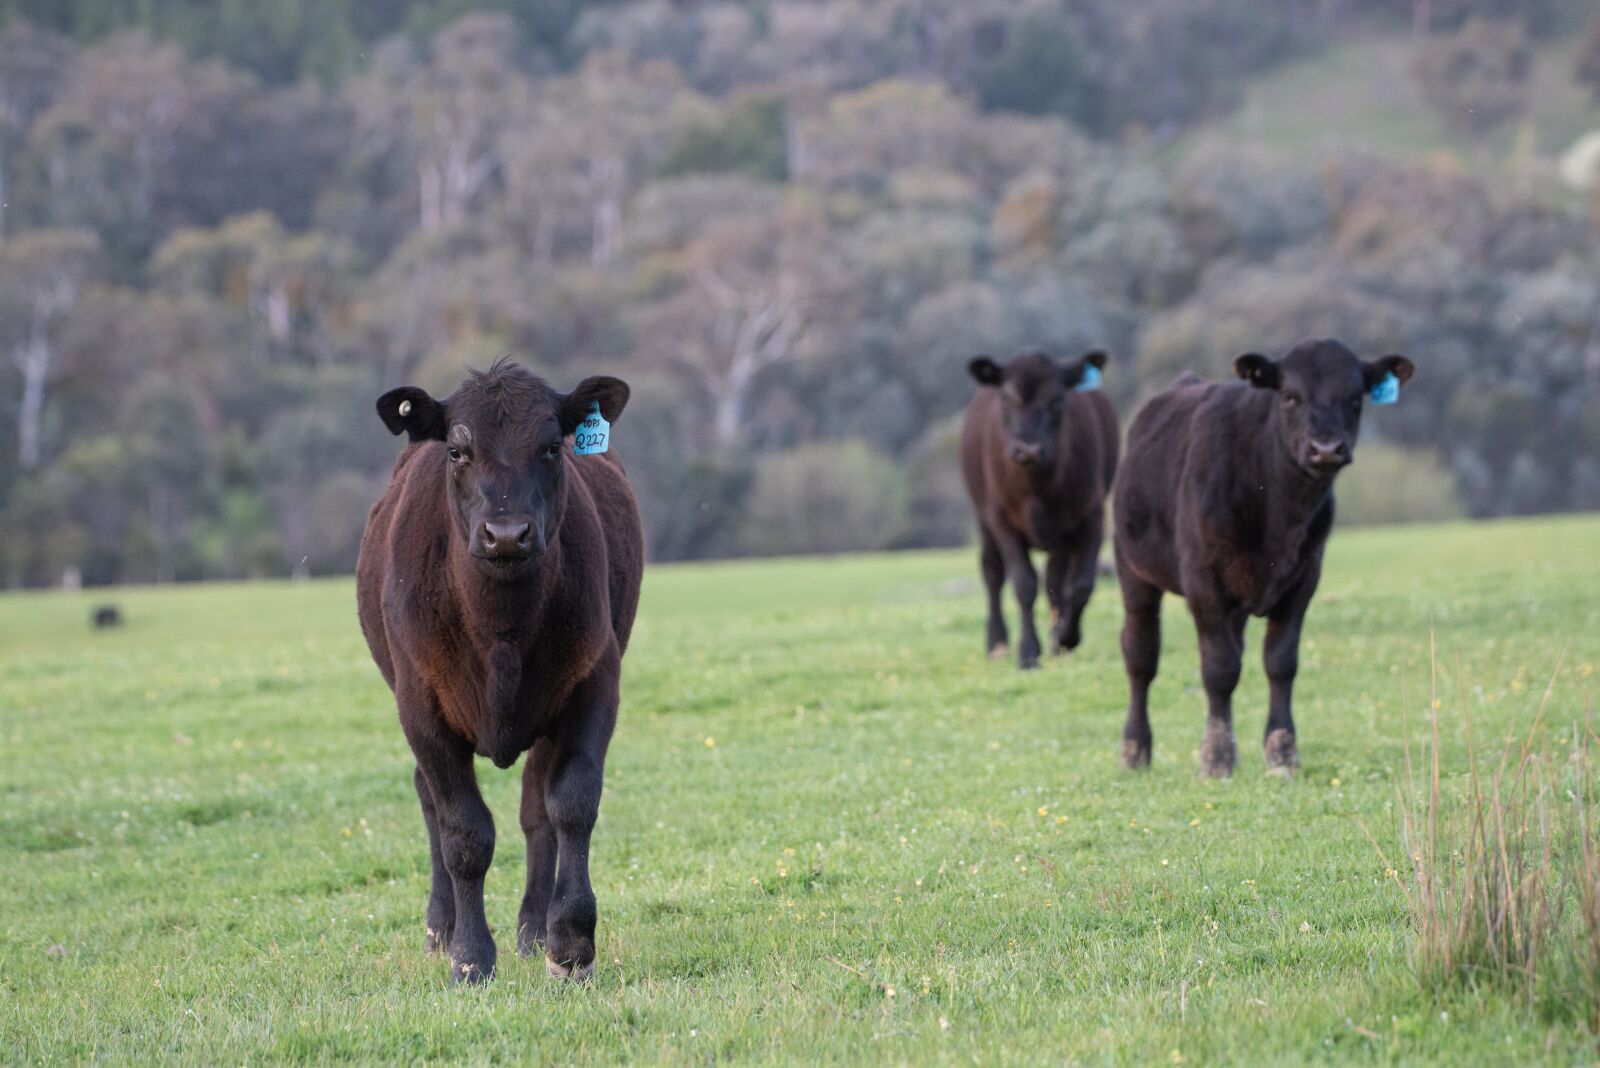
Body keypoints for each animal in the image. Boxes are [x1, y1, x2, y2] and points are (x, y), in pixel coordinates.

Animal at [355, 358, 642, 985]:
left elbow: (571, 804)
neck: (501, 629)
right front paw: (469, 957)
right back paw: (440, 927)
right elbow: (464, 831)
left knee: (537, 810)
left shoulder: (594, 683)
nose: (506, 534)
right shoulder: (422, 705)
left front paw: (571, 944)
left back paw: (534, 929)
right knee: (429, 800)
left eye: (552, 447)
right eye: (457, 451)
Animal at [960, 348, 1119, 670]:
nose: (1029, 449)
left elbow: (1080, 585)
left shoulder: (1091, 515)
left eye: (1058, 400)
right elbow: (1024, 583)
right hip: (983, 519)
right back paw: (997, 643)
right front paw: (1028, 652)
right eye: (1007, 398)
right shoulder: (1001, 518)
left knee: (1056, 577)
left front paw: (1066, 638)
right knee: (993, 573)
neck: (1037, 488)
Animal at [1113, 338, 1414, 776]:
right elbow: (1219, 668)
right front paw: (1216, 757)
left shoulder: (1304, 578)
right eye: (1289, 395)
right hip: (1134, 572)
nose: (1326, 449)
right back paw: (1134, 750)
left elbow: (1280, 662)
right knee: (1141, 656)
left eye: (1355, 397)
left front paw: (1282, 751)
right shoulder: (1203, 580)